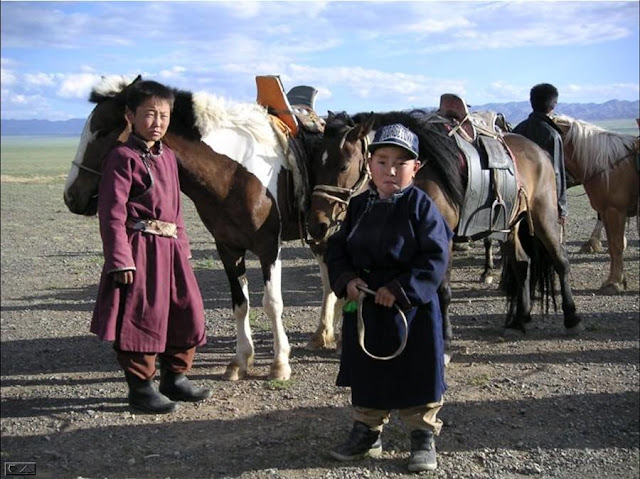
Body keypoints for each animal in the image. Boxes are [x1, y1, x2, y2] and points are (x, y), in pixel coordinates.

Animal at [61, 76, 330, 382]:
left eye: (103, 130)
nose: (71, 196)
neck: (233, 173)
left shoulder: (269, 247)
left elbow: (272, 303)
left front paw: (280, 363)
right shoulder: (228, 247)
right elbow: (240, 304)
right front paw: (239, 360)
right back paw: (323, 334)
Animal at [306, 111, 584, 346]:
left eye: (343, 166)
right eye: (315, 165)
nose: (316, 225)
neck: (416, 177)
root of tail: (539, 151)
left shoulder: (442, 241)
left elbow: (443, 292)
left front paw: (446, 339)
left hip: (544, 215)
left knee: (560, 260)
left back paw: (571, 318)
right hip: (511, 225)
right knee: (521, 263)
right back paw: (519, 319)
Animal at [552, 116, 636, 294]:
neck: (609, 166)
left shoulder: (615, 210)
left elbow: (617, 245)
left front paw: (614, 282)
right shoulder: (607, 210)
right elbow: (612, 245)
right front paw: (613, 280)